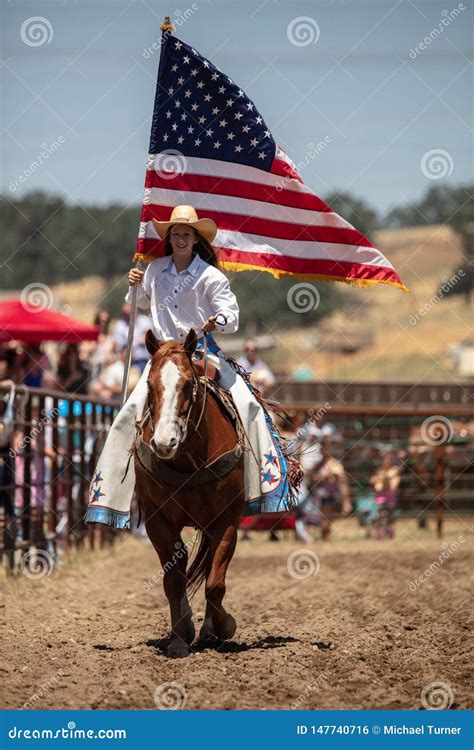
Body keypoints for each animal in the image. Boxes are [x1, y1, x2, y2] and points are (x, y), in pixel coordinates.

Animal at [133, 328, 244, 656]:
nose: (164, 442)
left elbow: (215, 583)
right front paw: (179, 637)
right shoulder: (157, 520)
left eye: (188, 384)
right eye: (149, 384)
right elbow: (172, 579)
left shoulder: (225, 521)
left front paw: (224, 627)